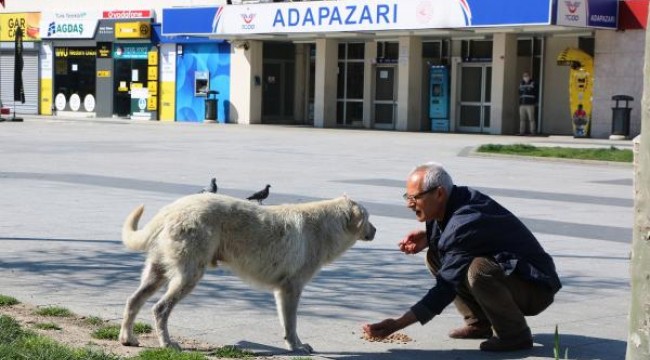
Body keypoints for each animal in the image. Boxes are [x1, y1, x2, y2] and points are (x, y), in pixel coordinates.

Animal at [117, 193, 374, 352]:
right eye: (368, 218)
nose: (375, 230)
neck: (325, 227)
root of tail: (171, 208)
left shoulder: (282, 292)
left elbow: (287, 324)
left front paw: (296, 345)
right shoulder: (291, 289)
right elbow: (291, 324)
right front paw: (297, 347)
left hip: (157, 273)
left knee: (133, 301)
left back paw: (127, 339)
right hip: (188, 276)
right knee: (160, 309)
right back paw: (167, 344)